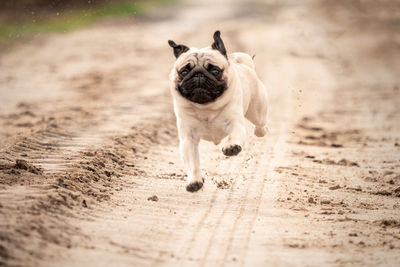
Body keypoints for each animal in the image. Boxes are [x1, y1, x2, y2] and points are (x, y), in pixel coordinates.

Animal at [167, 30, 268, 193]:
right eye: (184, 71)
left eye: (215, 70)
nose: (199, 74)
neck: (205, 107)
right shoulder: (188, 139)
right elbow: (192, 163)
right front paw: (195, 181)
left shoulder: (234, 123)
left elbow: (233, 136)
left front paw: (231, 147)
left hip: (257, 111)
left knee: (261, 124)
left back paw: (259, 132)